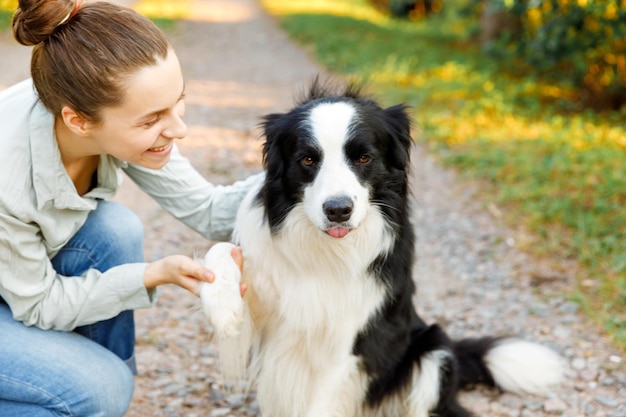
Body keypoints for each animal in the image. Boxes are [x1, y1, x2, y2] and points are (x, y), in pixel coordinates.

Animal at [200, 79, 560, 416]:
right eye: (307, 159)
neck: (325, 251)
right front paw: (222, 305)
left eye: (363, 157)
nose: (338, 210)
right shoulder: (267, 318)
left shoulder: (349, 342)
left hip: (433, 351)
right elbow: (221, 252)